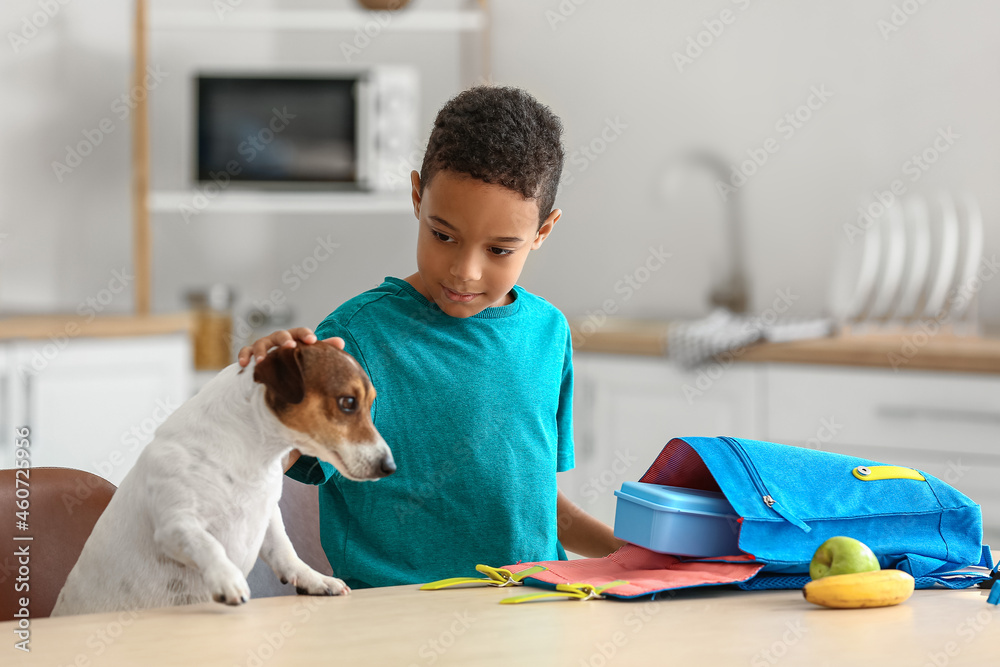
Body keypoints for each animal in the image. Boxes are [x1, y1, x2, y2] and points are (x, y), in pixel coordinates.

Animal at [51, 342, 390, 620]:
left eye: (370, 402)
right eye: (347, 402)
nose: (389, 465)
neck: (254, 453)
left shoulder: (267, 517)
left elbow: (286, 552)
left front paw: (314, 579)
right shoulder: (176, 525)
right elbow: (209, 545)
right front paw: (227, 579)